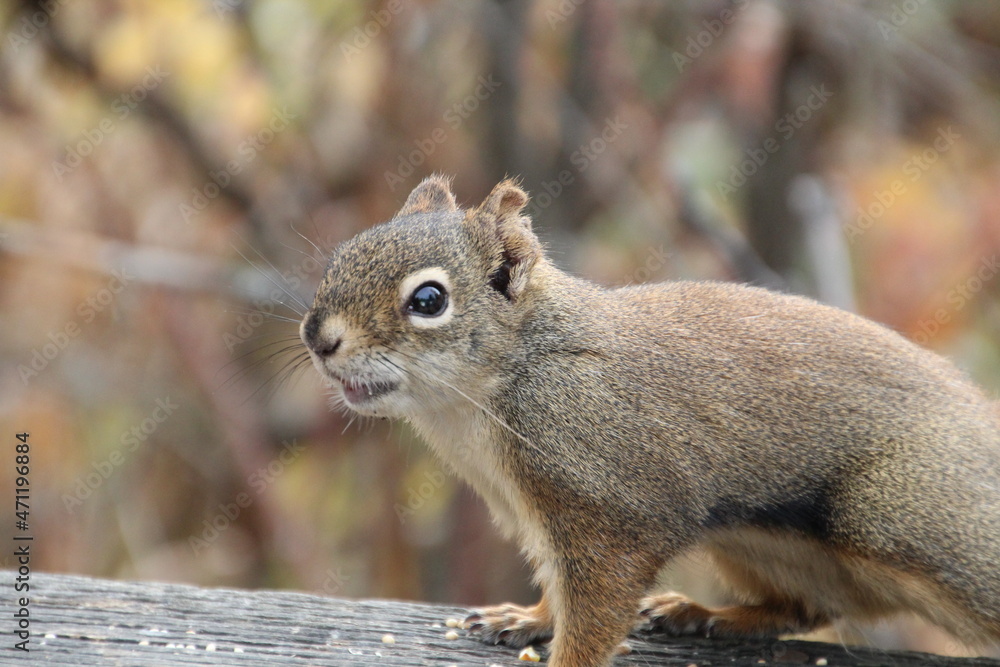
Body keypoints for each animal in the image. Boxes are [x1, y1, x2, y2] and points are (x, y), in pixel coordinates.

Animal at [300, 175, 1000, 667]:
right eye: (342, 256)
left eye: (429, 300)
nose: (318, 338)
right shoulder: (537, 515)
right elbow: (558, 586)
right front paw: (527, 617)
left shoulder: (606, 504)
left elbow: (598, 604)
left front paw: (563, 657)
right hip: (755, 544)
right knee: (805, 605)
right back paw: (708, 615)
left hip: (902, 515)